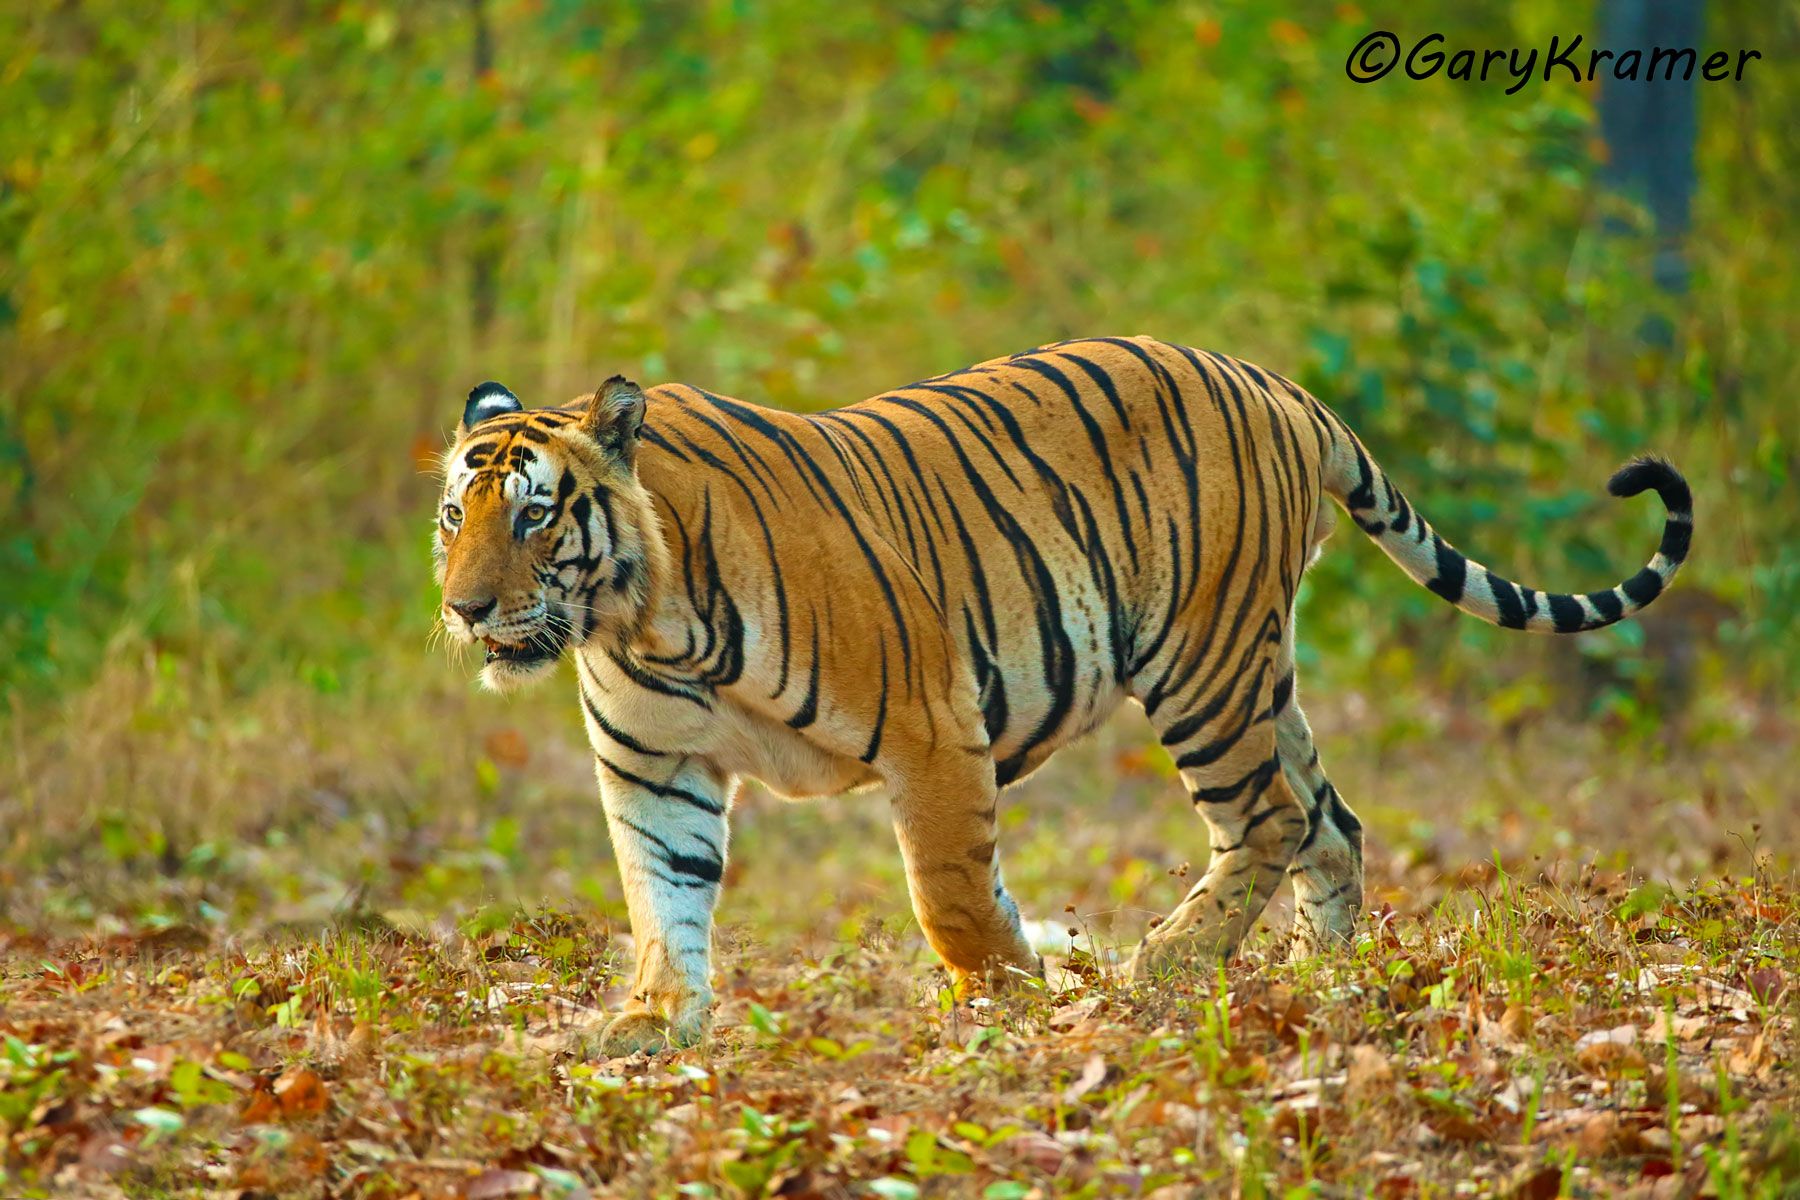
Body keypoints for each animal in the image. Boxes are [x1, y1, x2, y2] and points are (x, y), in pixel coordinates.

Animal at [433, 336, 1692, 1056]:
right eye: (457, 515)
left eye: (535, 516)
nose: (465, 609)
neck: (639, 619)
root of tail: (1280, 386)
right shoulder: (657, 766)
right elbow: (666, 897)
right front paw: (653, 1024)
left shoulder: (932, 729)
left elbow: (950, 894)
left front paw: (1016, 994)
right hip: (1261, 673)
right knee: (1330, 824)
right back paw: (1317, 982)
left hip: (1202, 663)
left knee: (1272, 818)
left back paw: (1160, 973)